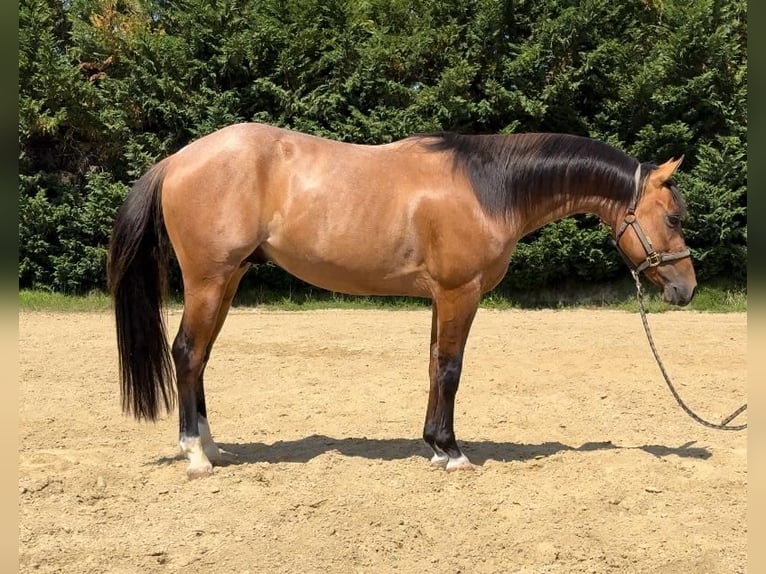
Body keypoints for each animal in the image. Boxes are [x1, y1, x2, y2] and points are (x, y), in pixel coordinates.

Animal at [107, 123, 696, 478]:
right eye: (673, 216)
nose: (685, 288)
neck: (489, 189)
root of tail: (177, 159)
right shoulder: (461, 294)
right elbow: (452, 368)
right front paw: (453, 452)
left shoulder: (441, 297)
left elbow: (434, 365)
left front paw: (433, 444)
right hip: (209, 281)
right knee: (187, 353)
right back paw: (195, 455)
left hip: (226, 282)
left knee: (201, 357)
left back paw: (213, 445)